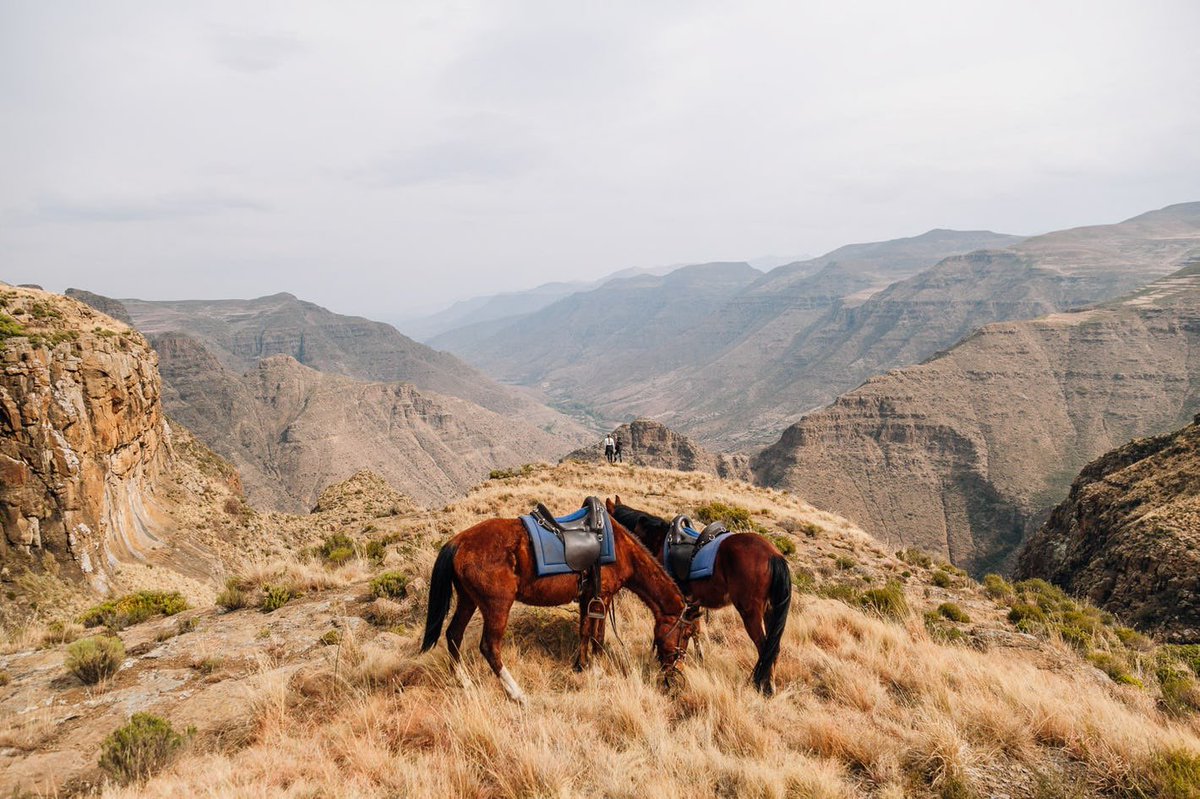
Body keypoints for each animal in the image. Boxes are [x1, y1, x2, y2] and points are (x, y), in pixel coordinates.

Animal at [422, 501, 696, 700]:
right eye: (686, 634)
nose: (676, 673)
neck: (622, 549)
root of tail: (457, 542)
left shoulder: (588, 598)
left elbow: (584, 631)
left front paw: (581, 666)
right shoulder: (604, 597)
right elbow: (598, 636)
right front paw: (597, 670)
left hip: (468, 600)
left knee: (454, 635)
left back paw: (465, 682)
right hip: (496, 605)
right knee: (489, 647)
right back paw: (517, 693)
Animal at [609, 494, 796, 695]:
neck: (658, 541)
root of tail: (774, 555)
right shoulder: (691, 603)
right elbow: (695, 631)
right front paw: (698, 660)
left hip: (750, 612)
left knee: (764, 648)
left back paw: (762, 686)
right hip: (771, 611)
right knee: (773, 648)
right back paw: (770, 685)